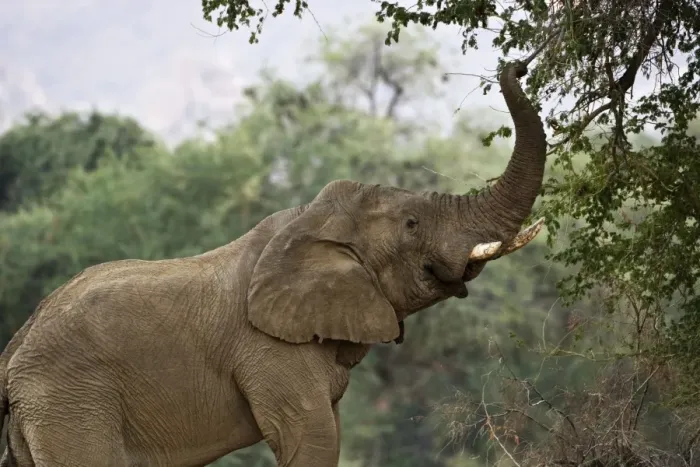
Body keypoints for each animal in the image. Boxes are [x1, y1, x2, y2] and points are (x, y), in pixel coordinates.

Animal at [0, 60, 547, 467]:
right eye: (411, 224)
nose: (517, 64)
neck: (310, 221)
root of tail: (14, 355)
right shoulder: (268, 348)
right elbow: (313, 438)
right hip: (71, 403)